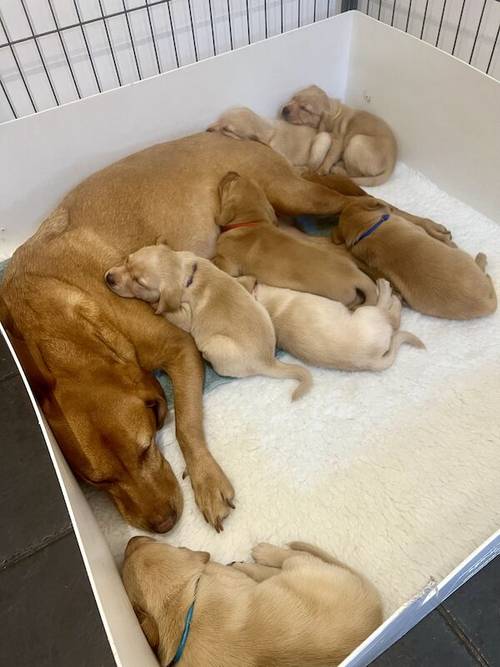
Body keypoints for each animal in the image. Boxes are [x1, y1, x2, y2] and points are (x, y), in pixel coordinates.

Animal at [104, 247, 312, 400]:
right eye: (127, 260)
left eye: (139, 282)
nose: (109, 278)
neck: (188, 274)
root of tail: (269, 361)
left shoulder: (185, 315)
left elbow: (169, 311)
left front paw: (155, 304)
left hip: (214, 345)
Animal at [122, 536, 382, 667]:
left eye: (137, 546)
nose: (130, 539)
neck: (179, 610)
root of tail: (377, 607)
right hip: (303, 567)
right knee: (288, 558)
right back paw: (263, 553)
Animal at [213, 172, 376, 308]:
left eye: (231, 182)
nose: (232, 172)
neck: (251, 222)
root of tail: (357, 276)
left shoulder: (228, 263)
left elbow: (217, 263)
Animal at [332, 197, 496, 320]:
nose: (392, 208)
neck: (366, 228)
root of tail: (486, 303)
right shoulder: (415, 228)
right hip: (465, 258)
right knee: (481, 268)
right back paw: (479, 256)